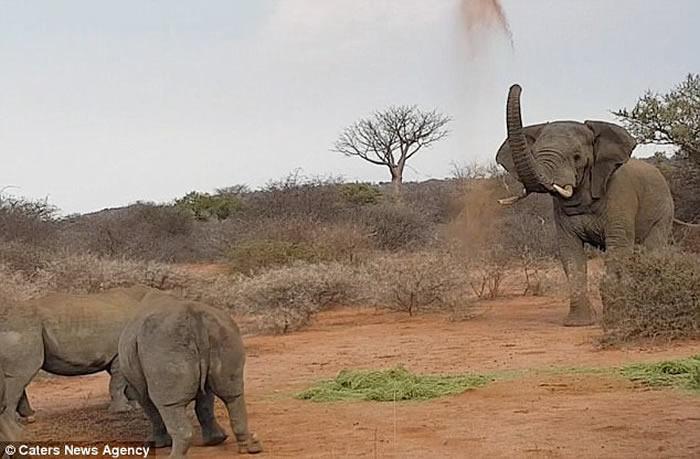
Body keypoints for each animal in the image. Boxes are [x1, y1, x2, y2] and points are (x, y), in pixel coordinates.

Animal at [0, 285, 165, 432]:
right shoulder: (120, 353)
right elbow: (117, 383)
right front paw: (122, 410)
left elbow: (123, 381)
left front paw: (132, 405)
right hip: (24, 329)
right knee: (21, 375)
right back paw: (15, 427)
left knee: (19, 376)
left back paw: (30, 417)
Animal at [118, 293, 262, 458]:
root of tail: (195, 319)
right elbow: (205, 402)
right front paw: (215, 440)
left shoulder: (137, 386)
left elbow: (151, 409)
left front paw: (156, 444)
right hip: (223, 332)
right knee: (232, 395)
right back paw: (251, 448)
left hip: (163, 344)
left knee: (168, 404)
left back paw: (174, 456)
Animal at [495, 84, 678, 326]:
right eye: (533, 153)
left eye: (577, 157)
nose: (517, 86)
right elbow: (570, 254)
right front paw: (578, 323)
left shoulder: (621, 194)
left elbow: (618, 247)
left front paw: (615, 319)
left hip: (664, 211)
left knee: (650, 251)